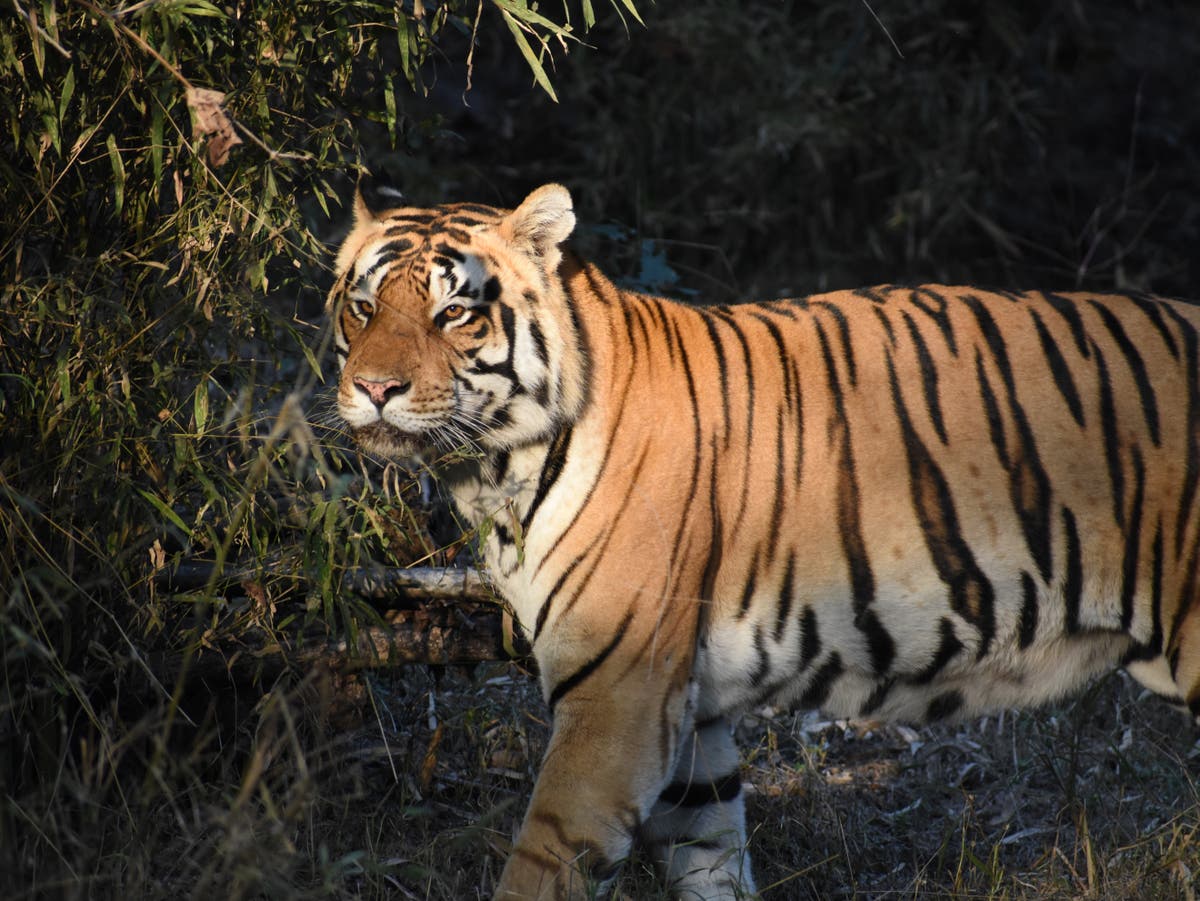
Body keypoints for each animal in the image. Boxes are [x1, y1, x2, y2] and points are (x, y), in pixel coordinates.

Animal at [326, 183, 1200, 901]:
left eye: (453, 312)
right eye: (362, 307)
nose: (373, 389)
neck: (494, 469)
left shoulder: (614, 701)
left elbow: (542, 863)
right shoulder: (686, 711)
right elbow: (711, 852)